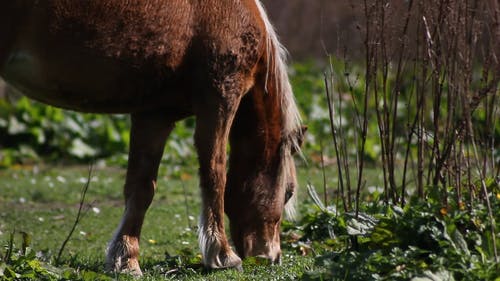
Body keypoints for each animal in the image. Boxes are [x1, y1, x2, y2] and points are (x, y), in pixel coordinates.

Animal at [0, 0, 304, 274]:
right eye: (288, 192)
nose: (272, 257)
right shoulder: (220, 100)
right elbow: (215, 175)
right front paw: (222, 255)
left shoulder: (154, 115)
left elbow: (142, 188)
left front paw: (125, 259)